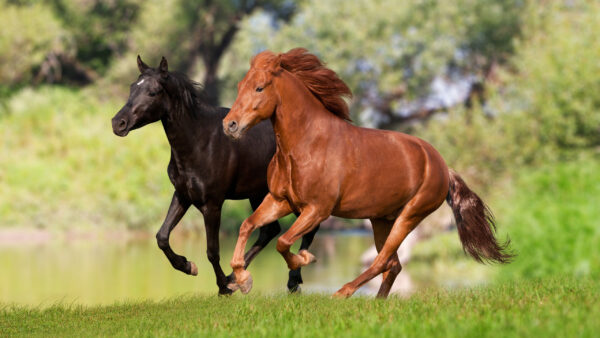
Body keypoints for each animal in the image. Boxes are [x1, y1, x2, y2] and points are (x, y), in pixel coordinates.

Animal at [112, 55, 318, 294]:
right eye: (132, 88)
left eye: (153, 92)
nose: (118, 123)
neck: (200, 142)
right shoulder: (183, 195)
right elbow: (162, 236)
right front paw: (189, 266)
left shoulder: (212, 204)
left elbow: (212, 250)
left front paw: (223, 287)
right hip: (258, 194)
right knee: (270, 230)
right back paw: (239, 278)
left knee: (309, 227)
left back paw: (291, 280)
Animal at [223, 48, 512, 298]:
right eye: (239, 86)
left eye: (259, 87)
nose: (230, 125)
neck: (306, 145)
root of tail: (442, 165)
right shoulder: (280, 201)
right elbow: (247, 225)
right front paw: (242, 280)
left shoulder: (317, 209)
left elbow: (283, 242)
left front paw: (304, 259)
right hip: (381, 219)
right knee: (393, 265)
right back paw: (376, 301)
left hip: (409, 216)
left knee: (382, 261)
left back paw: (342, 293)